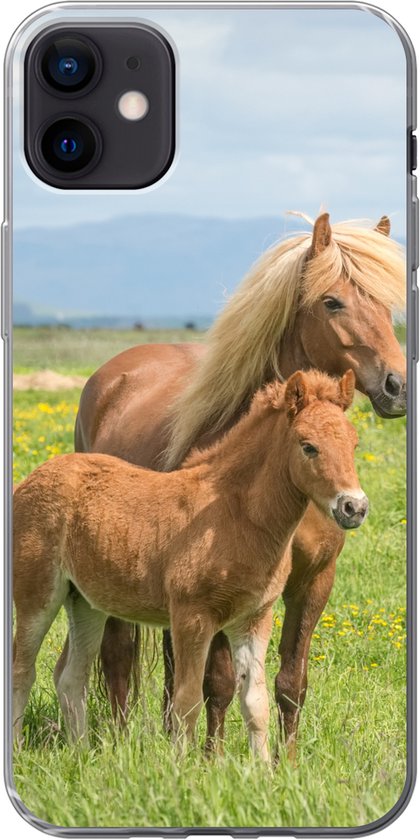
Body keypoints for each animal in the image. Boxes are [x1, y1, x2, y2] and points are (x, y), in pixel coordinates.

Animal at [13, 370, 368, 756]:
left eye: (354, 445)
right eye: (308, 446)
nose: (354, 507)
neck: (233, 514)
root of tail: (32, 477)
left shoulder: (253, 619)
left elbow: (255, 703)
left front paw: (262, 768)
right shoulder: (191, 617)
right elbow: (186, 701)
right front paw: (181, 765)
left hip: (85, 602)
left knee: (70, 677)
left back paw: (82, 755)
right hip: (37, 596)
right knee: (22, 670)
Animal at [60, 212, 406, 760]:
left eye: (389, 303)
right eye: (333, 301)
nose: (398, 386)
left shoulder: (314, 581)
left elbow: (290, 681)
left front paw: (286, 761)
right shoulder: (220, 587)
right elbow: (219, 681)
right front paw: (213, 760)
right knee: (118, 656)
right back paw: (118, 742)